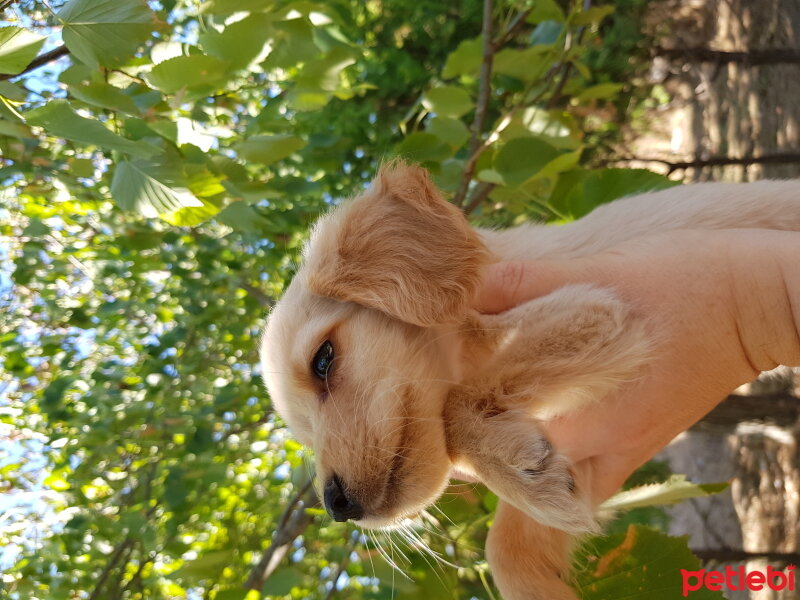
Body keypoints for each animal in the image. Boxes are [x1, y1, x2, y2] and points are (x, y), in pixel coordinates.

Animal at [260, 161, 800, 600]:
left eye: (323, 360)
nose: (336, 506)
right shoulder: (592, 463)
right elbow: (508, 552)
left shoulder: (596, 310)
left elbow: (456, 406)